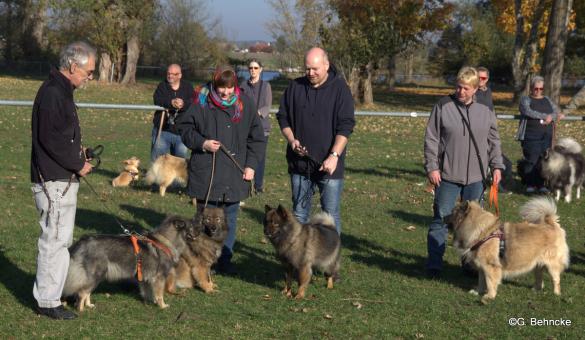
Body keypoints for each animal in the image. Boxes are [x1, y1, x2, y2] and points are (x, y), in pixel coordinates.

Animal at [60, 215, 200, 310]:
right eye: (191, 227)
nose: (200, 232)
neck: (166, 241)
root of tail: (83, 241)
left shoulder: (145, 278)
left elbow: (149, 292)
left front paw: (150, 301)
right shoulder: (159, 277)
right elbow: (160, 294)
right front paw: (162, 305)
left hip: (95, 277)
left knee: (86, 291)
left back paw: (89, 305)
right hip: (96, 274)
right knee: (82, 293)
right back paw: (81, 309)